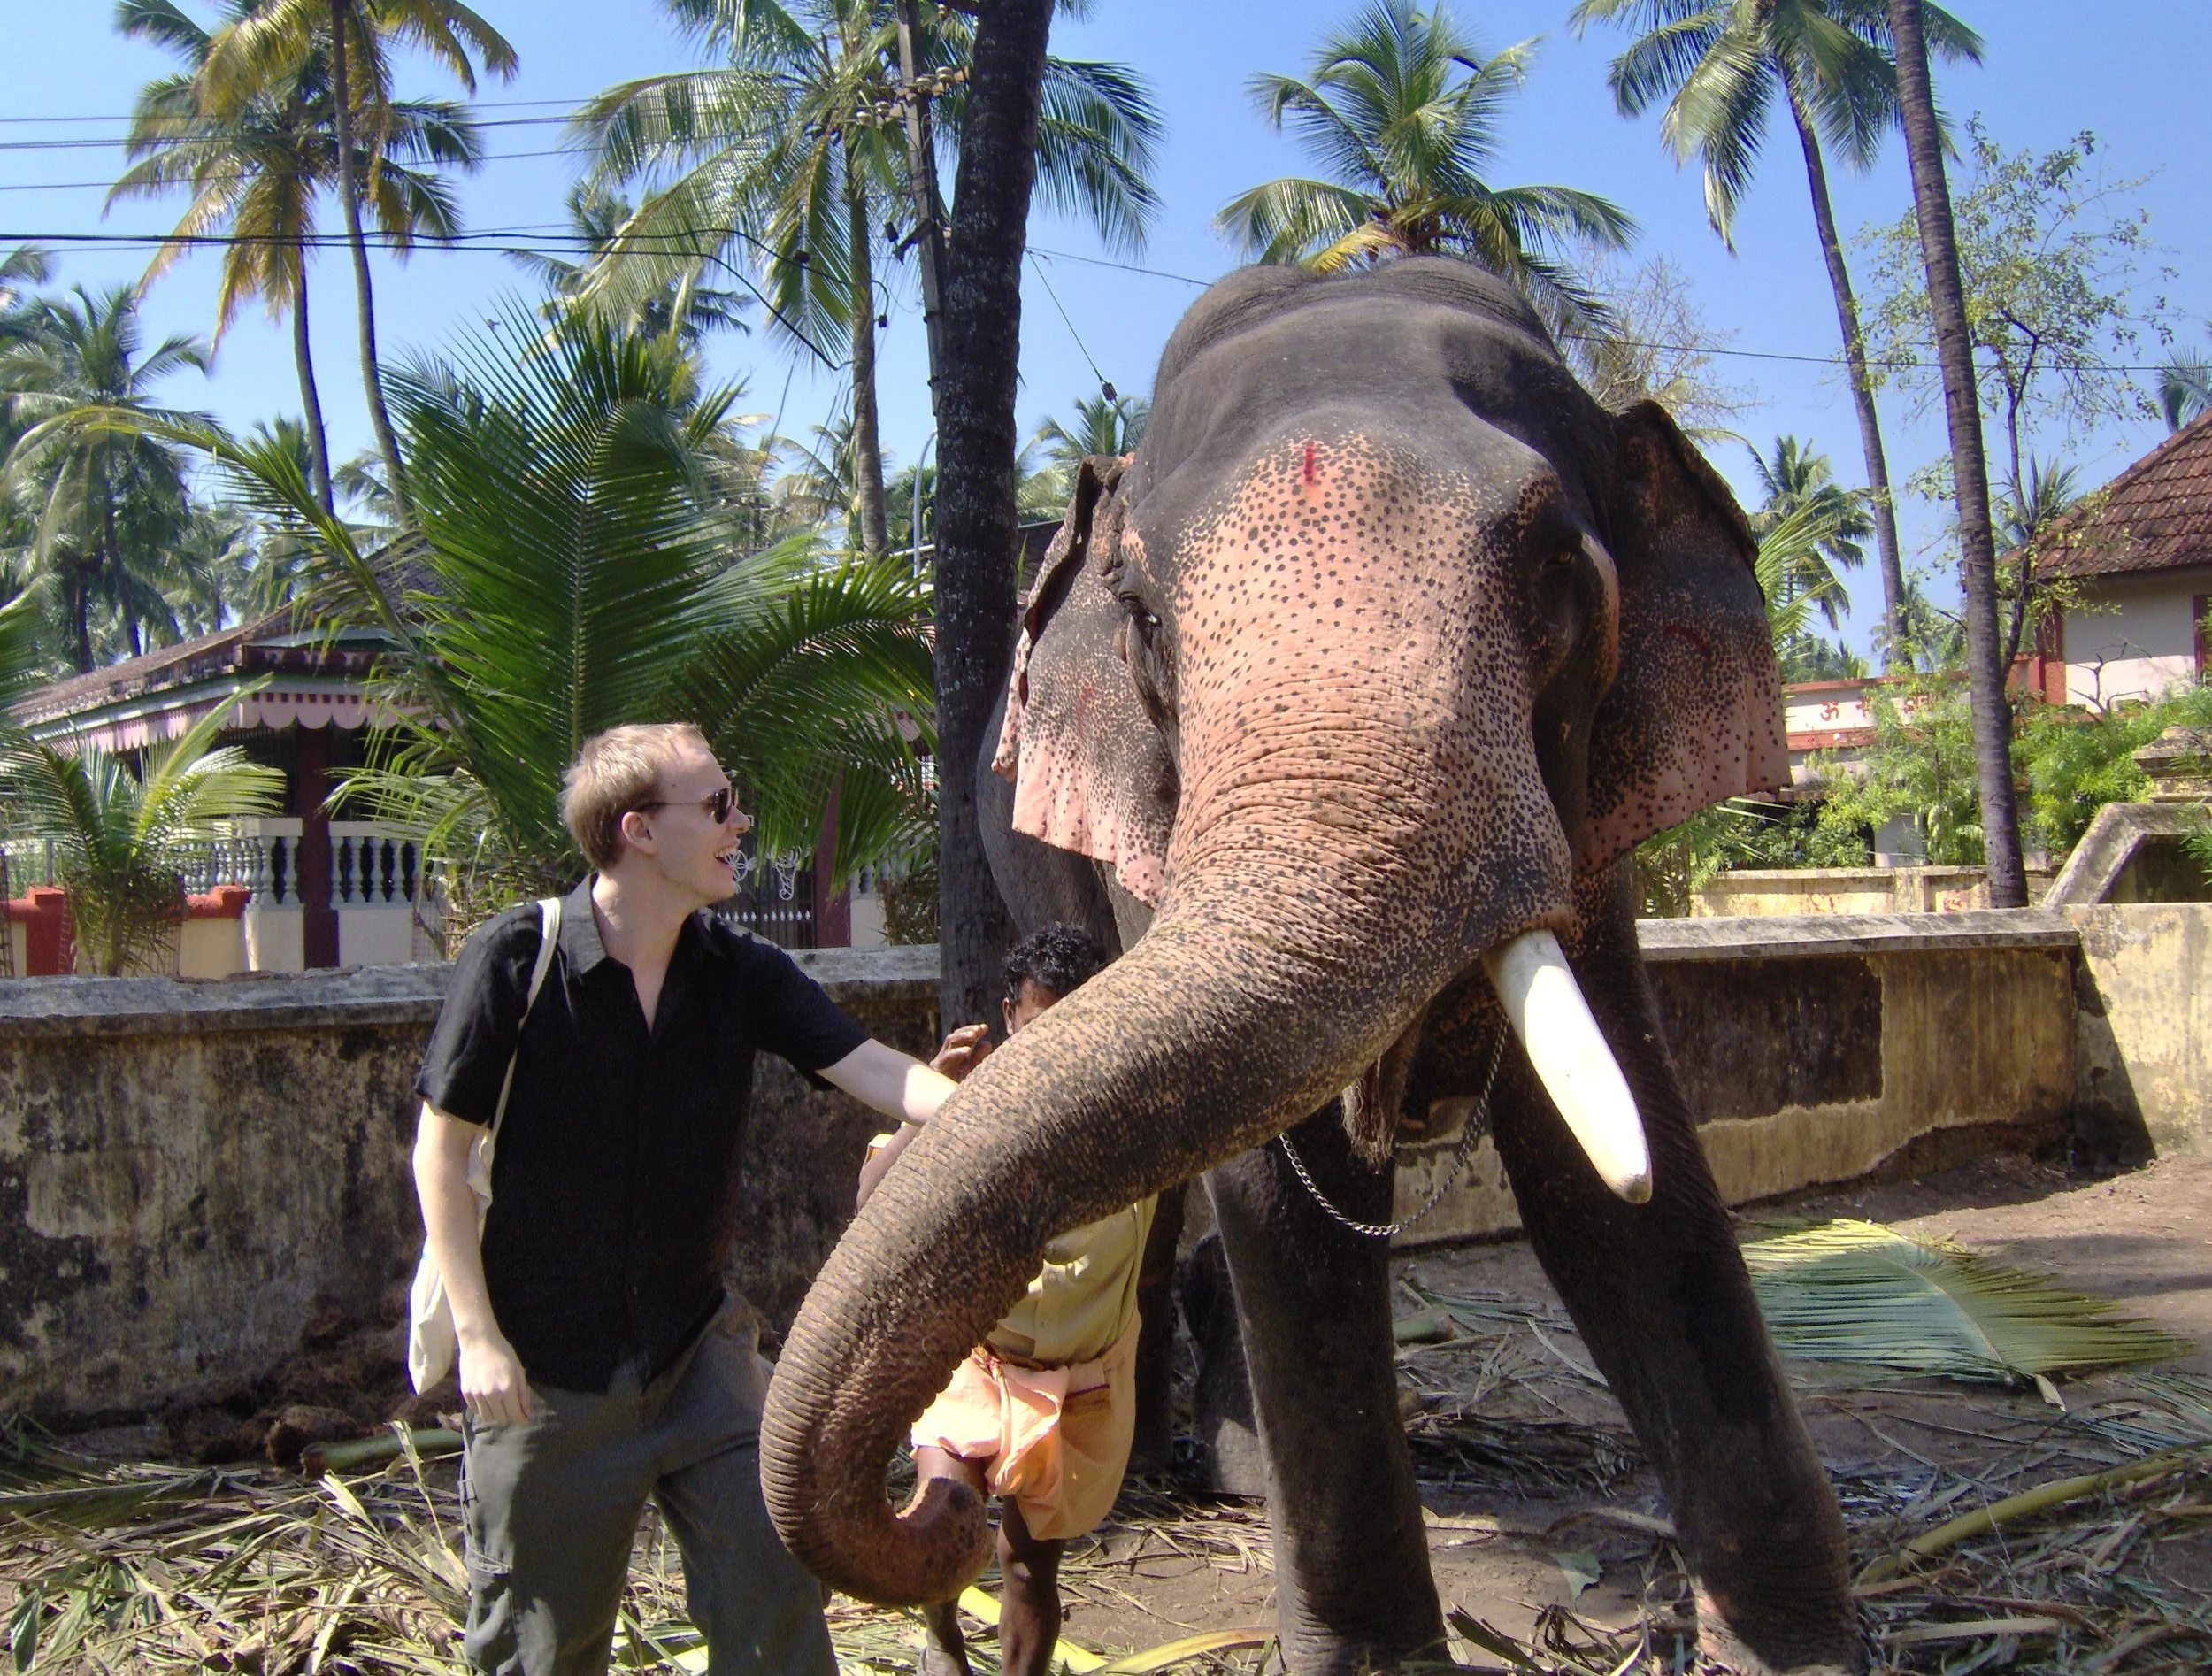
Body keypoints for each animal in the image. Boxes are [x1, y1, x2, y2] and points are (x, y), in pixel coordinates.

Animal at [760, 256, 1862, 1675]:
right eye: (1145, 625)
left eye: (1562, 578)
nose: (936, 1506)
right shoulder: (1146, 812)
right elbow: (1285, 1179)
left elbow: (1617, 1166)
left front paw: (1797, 1643)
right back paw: (1170, 1468)